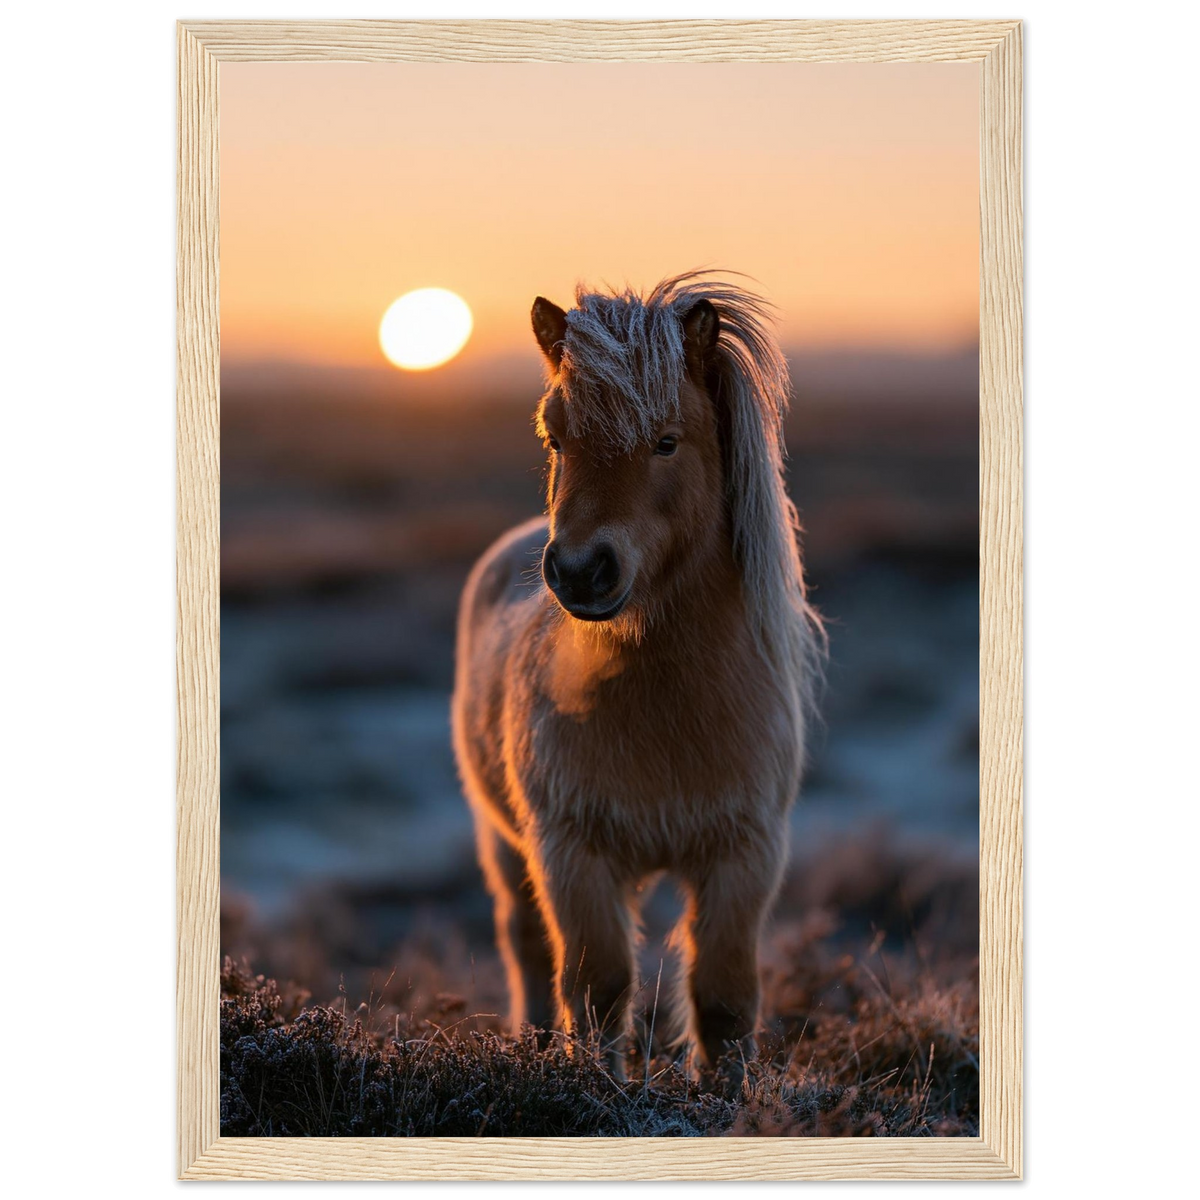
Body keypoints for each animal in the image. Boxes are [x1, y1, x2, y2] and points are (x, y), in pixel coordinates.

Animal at [451, 272, 823, 1084]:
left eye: (667, 440)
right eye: (554, 437)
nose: (580, 570)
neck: (665, 711)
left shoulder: (745, 855)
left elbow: (723, 998)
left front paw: (730, 1097)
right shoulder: (571, 853)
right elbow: (598, 987)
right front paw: (596, 1089)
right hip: (504, 843)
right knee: (526, 948)